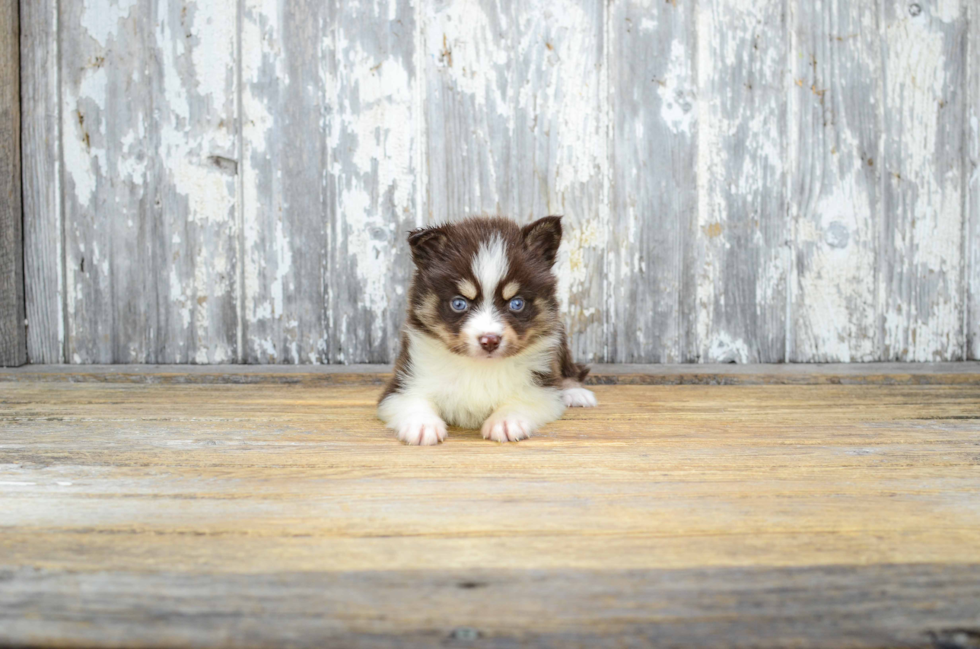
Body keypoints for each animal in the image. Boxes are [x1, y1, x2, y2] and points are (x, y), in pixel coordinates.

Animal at [378, 215, 596, 442]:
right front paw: (422, 425)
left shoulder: (543, 389)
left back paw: (575, 392)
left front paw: (506, 422)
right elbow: (412, 401)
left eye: (517, 303)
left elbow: (523, 401)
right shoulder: (403, 383)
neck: (480, 366)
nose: (490, 340)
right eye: (459, 303)